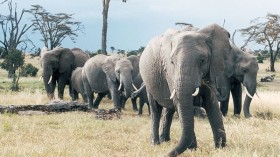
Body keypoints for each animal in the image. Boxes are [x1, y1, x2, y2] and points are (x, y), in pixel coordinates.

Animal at [139, 23, 231, 156]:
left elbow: (211, 103)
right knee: (156, 109)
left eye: (202, 60)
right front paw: (193, 149)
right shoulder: (170, 72)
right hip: (148, 83)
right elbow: (179, 103)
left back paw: (165, 140)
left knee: (169, 109)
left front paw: (220, 147)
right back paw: (155, 143)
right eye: (172, 62)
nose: (166, 154)